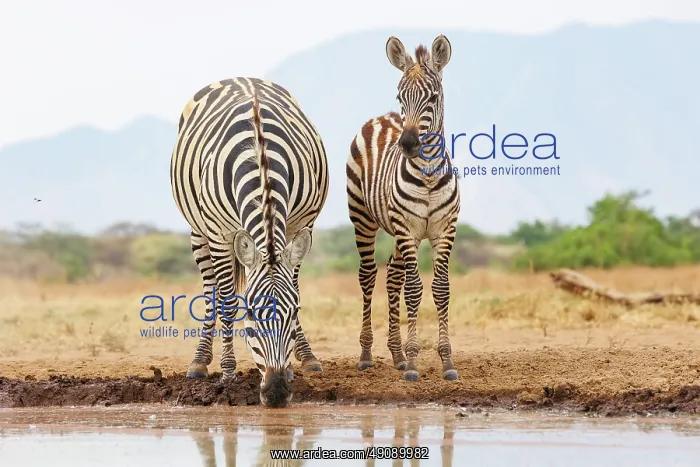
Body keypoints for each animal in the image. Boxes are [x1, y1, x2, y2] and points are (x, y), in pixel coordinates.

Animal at [170, 77, 328, 407]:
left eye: (295, 312)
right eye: (252, 315)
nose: (277, 392)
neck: (261, 160)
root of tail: (240, 78)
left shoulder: (299, 225)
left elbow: (295, 288)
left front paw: (296, 364)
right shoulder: (220, 233)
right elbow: (228, 302)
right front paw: (228, 374)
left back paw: (307, 359)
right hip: (198, 233)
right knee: (211, 292)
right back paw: (199, 362)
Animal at [346, 35, 460, 382]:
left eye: (433, 97)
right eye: (400, 96)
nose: (407, 145)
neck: (428, 174)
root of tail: (381, 118)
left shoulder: (444, 231)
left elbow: (440, 289)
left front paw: (446, 362)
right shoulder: (409, 230)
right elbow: (414, 289)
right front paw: (413, 364)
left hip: (396, 230)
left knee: (392, 275)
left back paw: (395, 354)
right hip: (362, 218)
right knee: (369, 274)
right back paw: (367, 355)